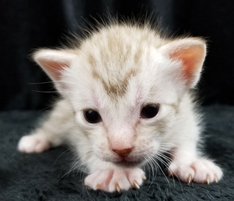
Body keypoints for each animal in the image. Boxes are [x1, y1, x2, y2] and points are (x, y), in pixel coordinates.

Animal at [17, 22, 223, 192]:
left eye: (151, 111)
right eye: (91, 115)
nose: (121, 148)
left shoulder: (185, 115)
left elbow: (187, 137)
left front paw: (190, 162)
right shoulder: (79, 133)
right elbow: (90, 150)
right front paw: (114, 171)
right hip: (62, 112)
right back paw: (37, 140)